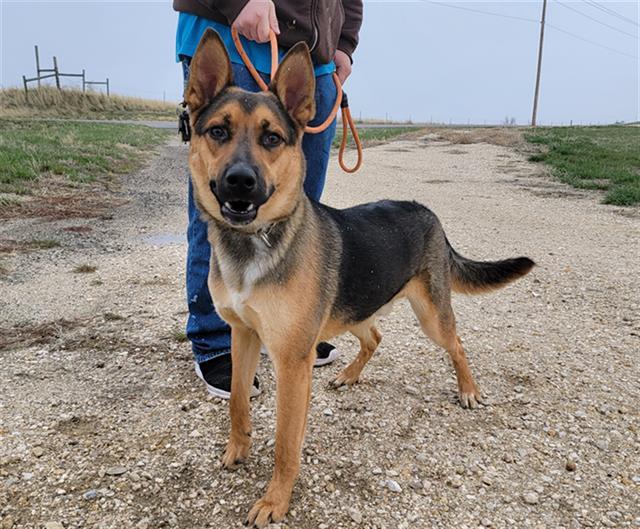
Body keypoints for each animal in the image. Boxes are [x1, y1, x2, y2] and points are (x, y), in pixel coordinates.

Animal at [184, 29, 536, 528]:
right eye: (218, 131)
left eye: (272, 138)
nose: (240, 182)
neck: (255, 243)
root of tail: (429, 212)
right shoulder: (243, 335)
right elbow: (236, 402)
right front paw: (238, 448)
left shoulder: (292, 361)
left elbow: (287, 443)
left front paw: (275, 500)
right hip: (354, 308)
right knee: (375, 338)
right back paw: (350, 374)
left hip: (430, 314)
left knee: (457, 344)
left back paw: (468, 390)